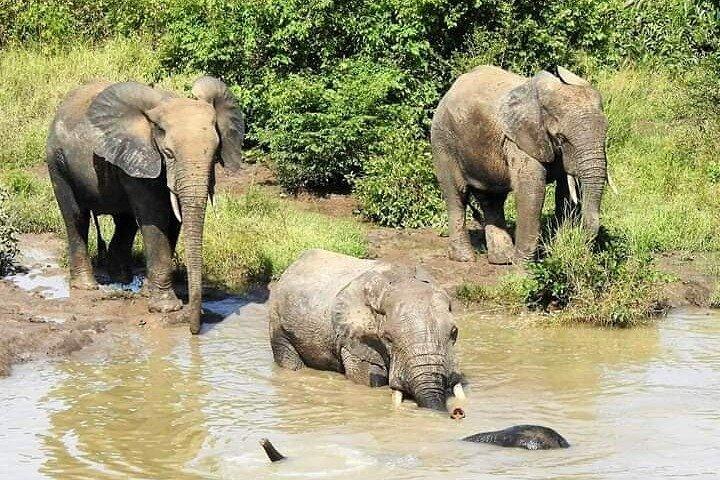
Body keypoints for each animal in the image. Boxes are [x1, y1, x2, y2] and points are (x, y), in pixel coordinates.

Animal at [46, 76, 244, 334]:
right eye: (168, 154)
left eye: (214, 155)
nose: (195, 329)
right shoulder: (142, 153)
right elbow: (155, 217)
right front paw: (166, 308)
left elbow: (174, 222)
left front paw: (150, 293)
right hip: (57, 161)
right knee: (76, 216)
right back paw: (87, 286)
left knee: (126, 221)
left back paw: (121, 279)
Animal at [431, 65, 609, 264]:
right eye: (561, 138)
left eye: (605, 134)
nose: (582, 236)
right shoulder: (518, 139)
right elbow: (532, 190)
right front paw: (522, 267)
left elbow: (564, 194)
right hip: (443, 141)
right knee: (456, 193)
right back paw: (465, 258)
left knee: (492, 199)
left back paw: (502, 259)